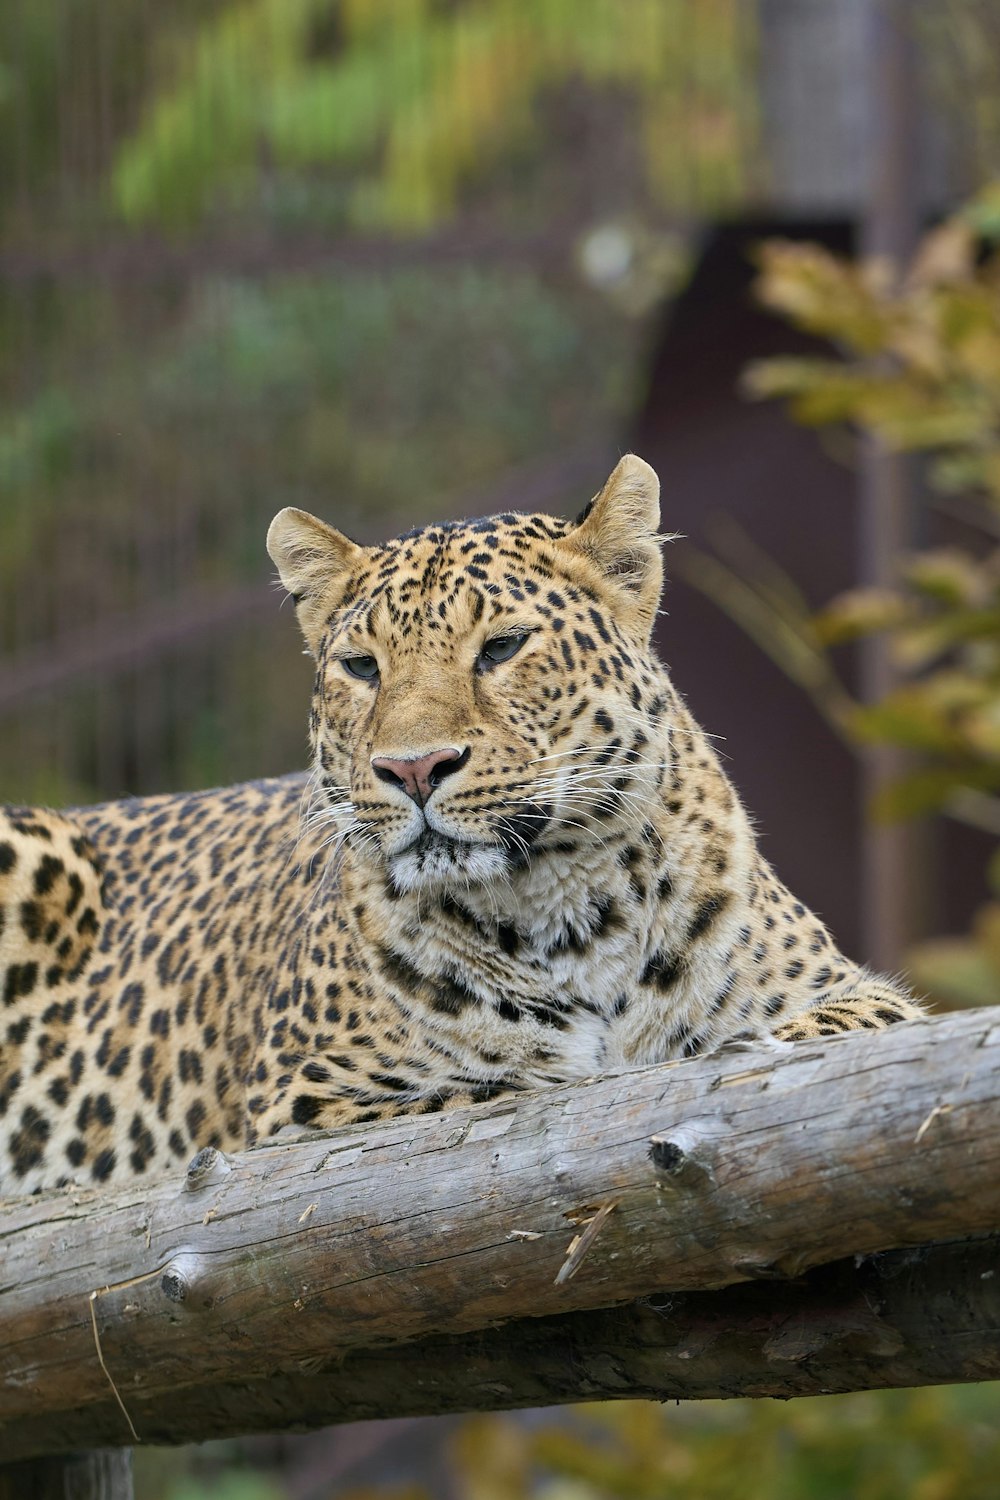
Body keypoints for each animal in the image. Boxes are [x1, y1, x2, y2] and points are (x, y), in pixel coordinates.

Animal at [0, 450, 923, 1188]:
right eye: (361, 667)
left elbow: (820, 1029)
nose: (413, 768)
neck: (569, 914)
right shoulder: (304, 1107)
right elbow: (504, 1086)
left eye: (503, 648)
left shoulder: (854, 991)